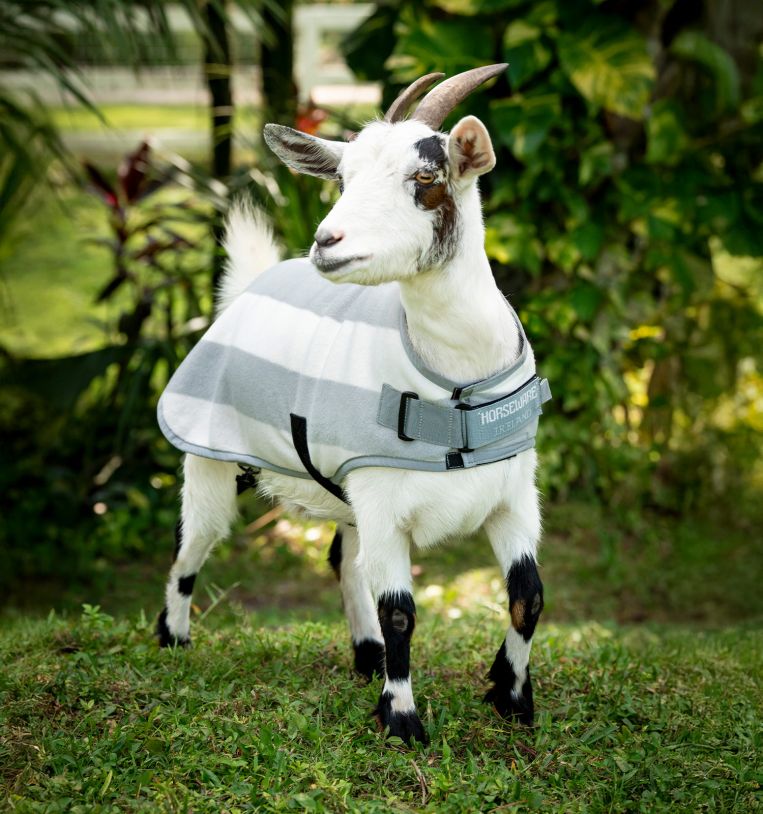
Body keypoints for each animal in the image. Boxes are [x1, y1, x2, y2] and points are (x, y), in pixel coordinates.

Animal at [156, 64, 551, 745]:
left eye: (426, 178)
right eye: (343, 179)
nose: (326, 241)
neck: (457, 386)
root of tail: (248, 288)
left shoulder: (512, 494)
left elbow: (528, 595)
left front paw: (510, 695)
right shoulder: (385, 502)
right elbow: (402, 614)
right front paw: (404, 722)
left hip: (346, 487)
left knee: (344, 557)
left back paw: (365, 657)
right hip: (209, 453)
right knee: (193, 541)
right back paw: (174, 638)